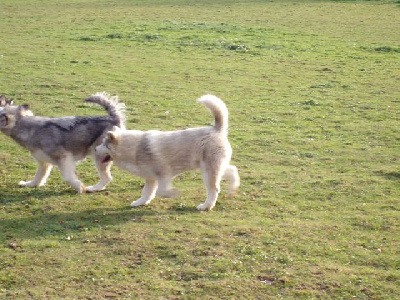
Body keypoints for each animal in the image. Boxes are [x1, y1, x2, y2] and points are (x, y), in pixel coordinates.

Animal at [95, 94, 239, 211]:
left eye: (104, 144)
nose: (95, 149)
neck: (135, 148)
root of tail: (217, 129)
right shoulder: (150, 178)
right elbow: (147, 193)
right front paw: (140, 202)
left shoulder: (164, 175)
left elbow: (161, 191)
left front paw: (173, 193)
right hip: (213, 167)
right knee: (232, 170)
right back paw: (233, 187)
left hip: (208, 171)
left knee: (214, 189)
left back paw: (206, 206)